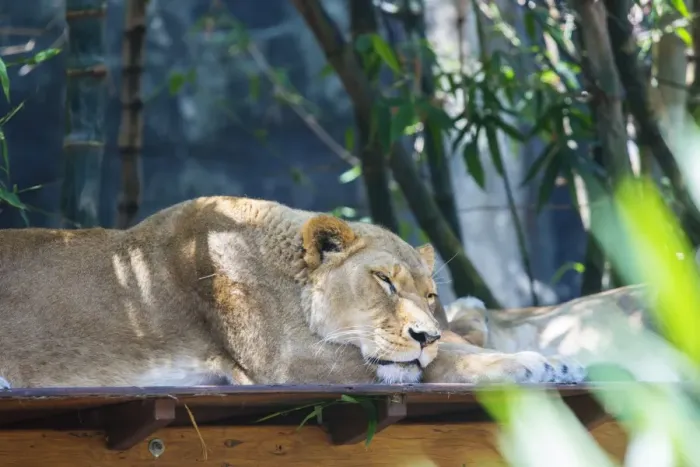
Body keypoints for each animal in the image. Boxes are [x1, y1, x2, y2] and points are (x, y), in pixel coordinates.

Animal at [0, 196, 584, 388]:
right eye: (384, 280)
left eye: (431, 295)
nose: (425, 332)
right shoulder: (285, 363)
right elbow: (436, 364)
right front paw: (528, 364)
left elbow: (451, 348)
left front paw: (559, 360)